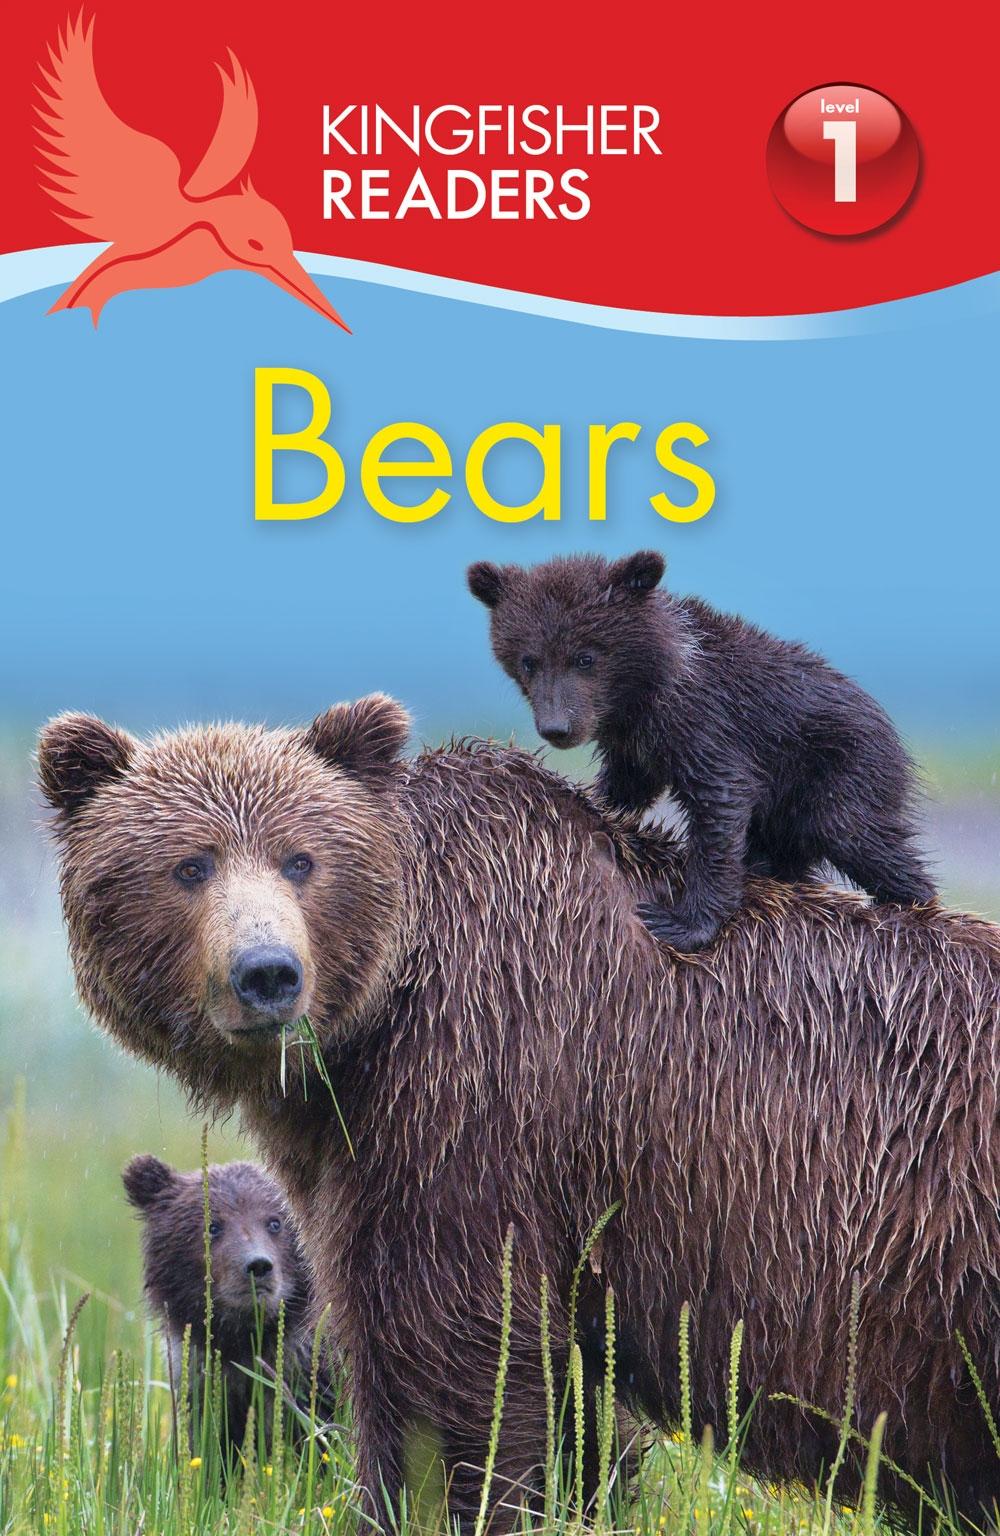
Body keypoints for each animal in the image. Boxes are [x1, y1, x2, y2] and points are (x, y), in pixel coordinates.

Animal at [467, 550, 936, 951]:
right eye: (529, 660)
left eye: (585, 657)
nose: (557, 728)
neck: (645, 690)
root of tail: (891, 730)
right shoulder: (634, 742)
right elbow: (626, 787)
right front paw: (589, 798)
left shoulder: (707, 724)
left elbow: (720, 805)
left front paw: (680, 923)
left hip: (839, 768)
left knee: (855, 832)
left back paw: (909, 903)